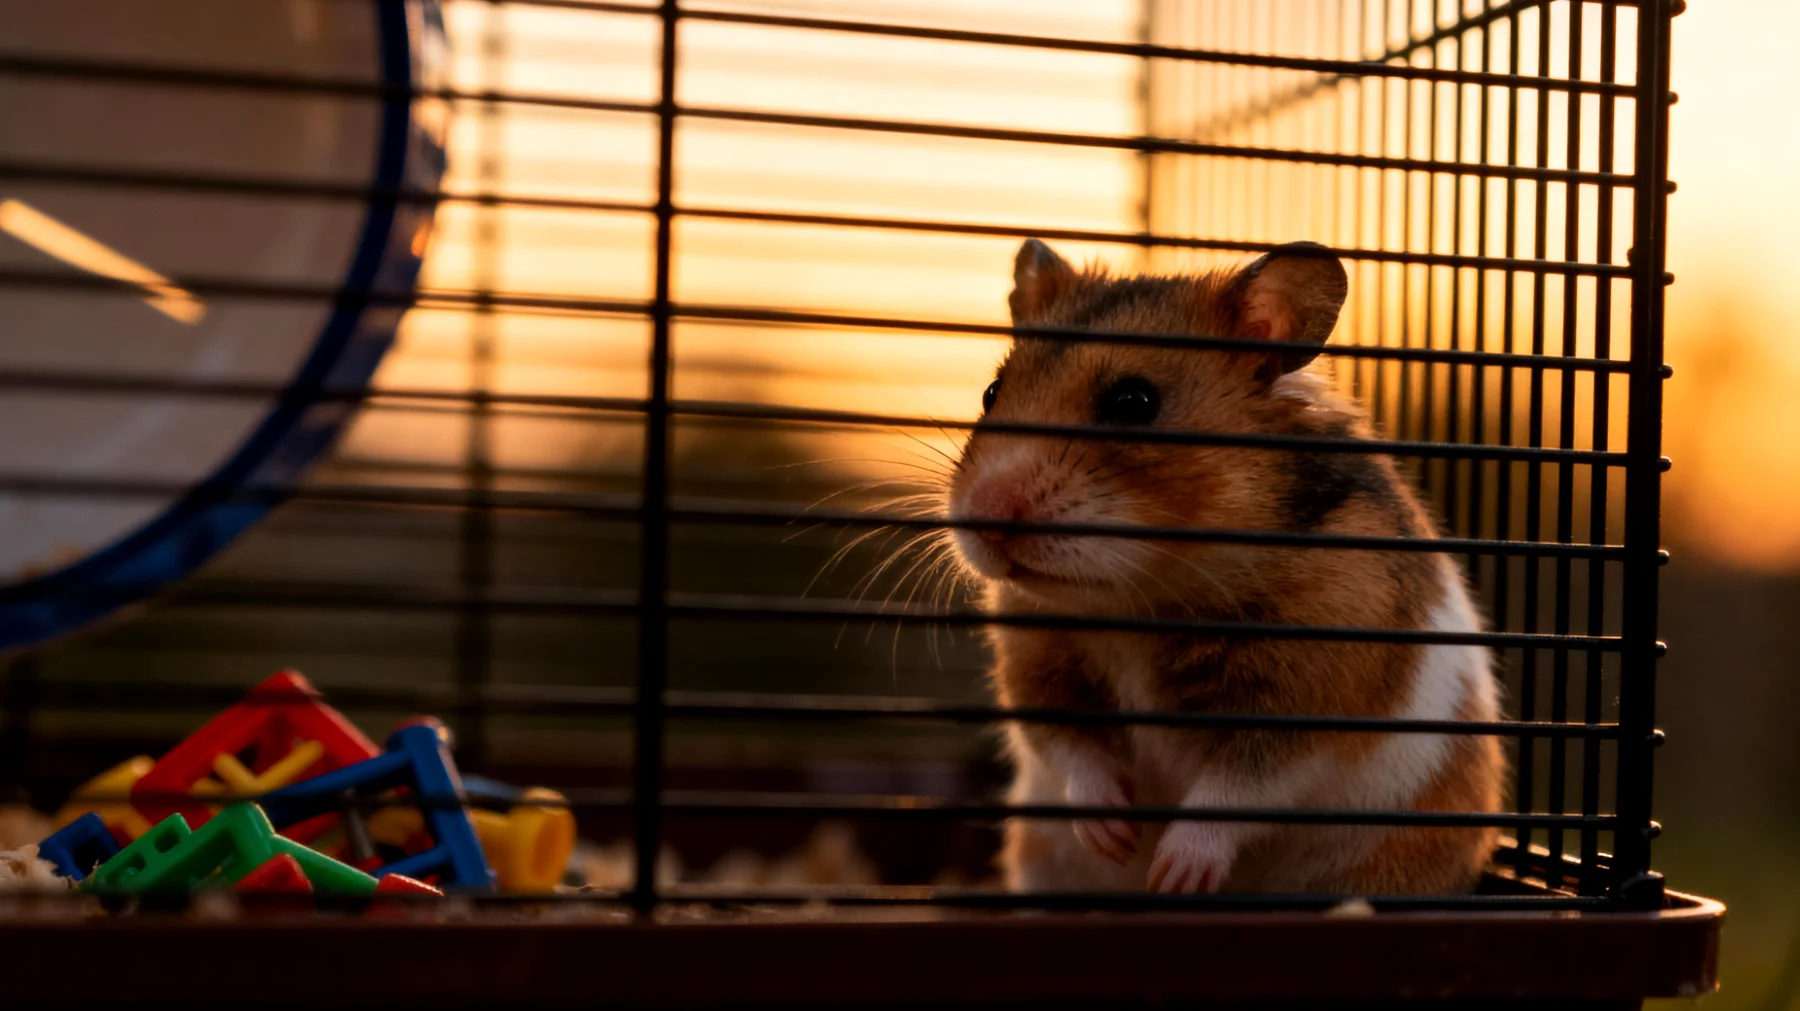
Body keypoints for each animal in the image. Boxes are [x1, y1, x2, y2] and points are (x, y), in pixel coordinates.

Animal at [945, 239, 1505, 895]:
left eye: (1133, 402)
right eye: (991, 393)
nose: (985, 516)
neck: (1138, 597)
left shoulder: (1306, 697)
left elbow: (1238, 790)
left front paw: (1172, 873)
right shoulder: (1038, 668)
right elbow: (1073, 751)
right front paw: (1114, 837)